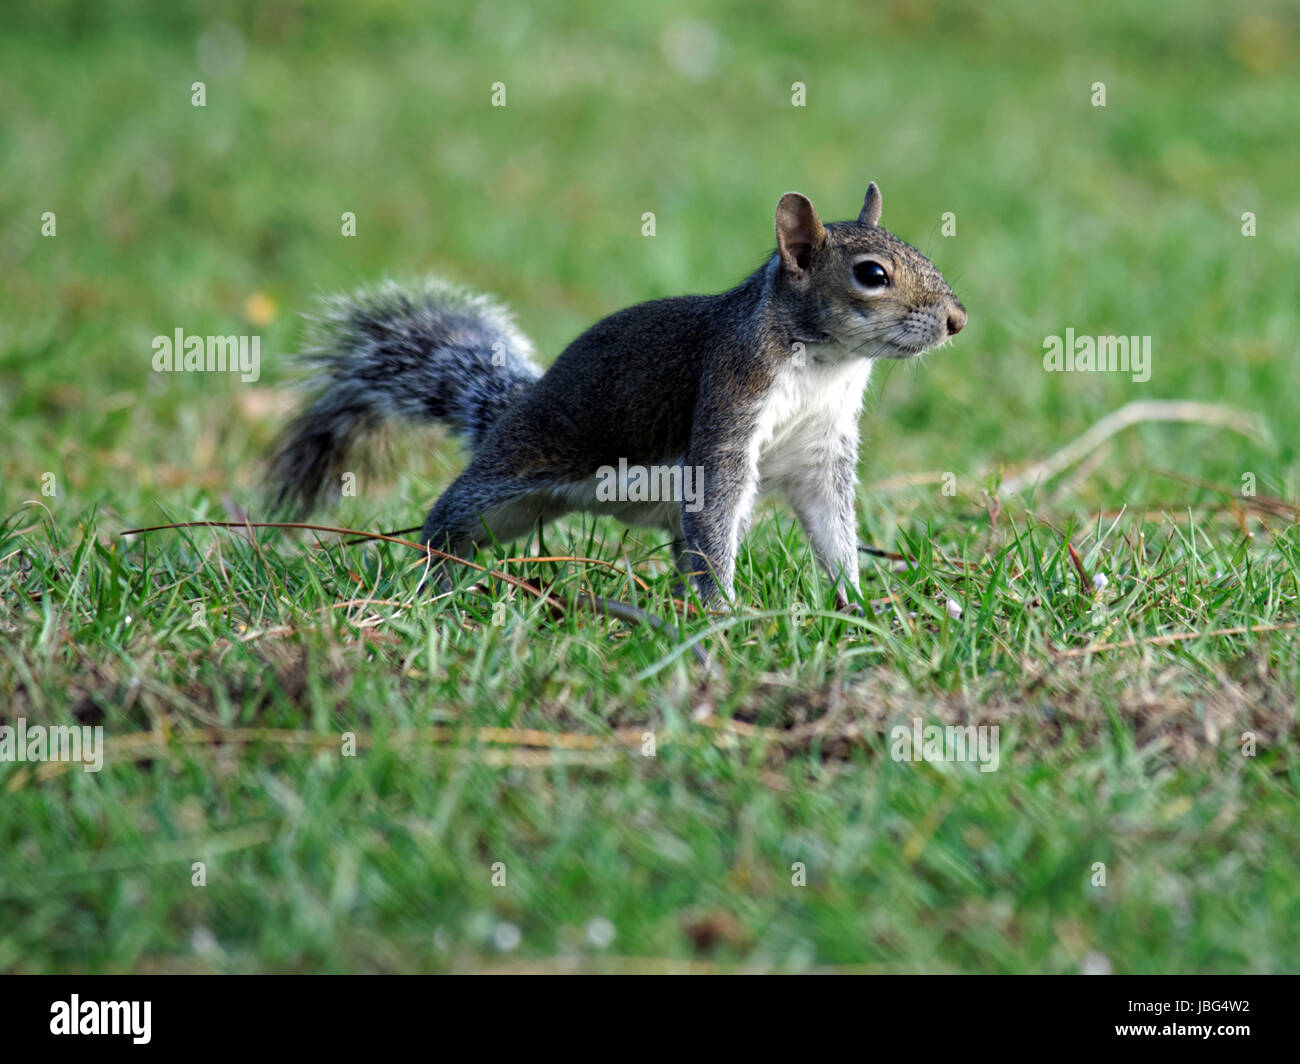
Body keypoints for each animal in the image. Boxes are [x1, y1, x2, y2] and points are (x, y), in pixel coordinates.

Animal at [266, 182, 967, 606]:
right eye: (871, 274)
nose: (957, 320)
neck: (827, 365)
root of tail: (511, 409)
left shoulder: (820, 452)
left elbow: (830, 527)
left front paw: (859, 602)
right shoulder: (730, 403)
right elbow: (717, 514)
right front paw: (726, 615)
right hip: (514, 474)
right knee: (449, 519)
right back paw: (438, 584)